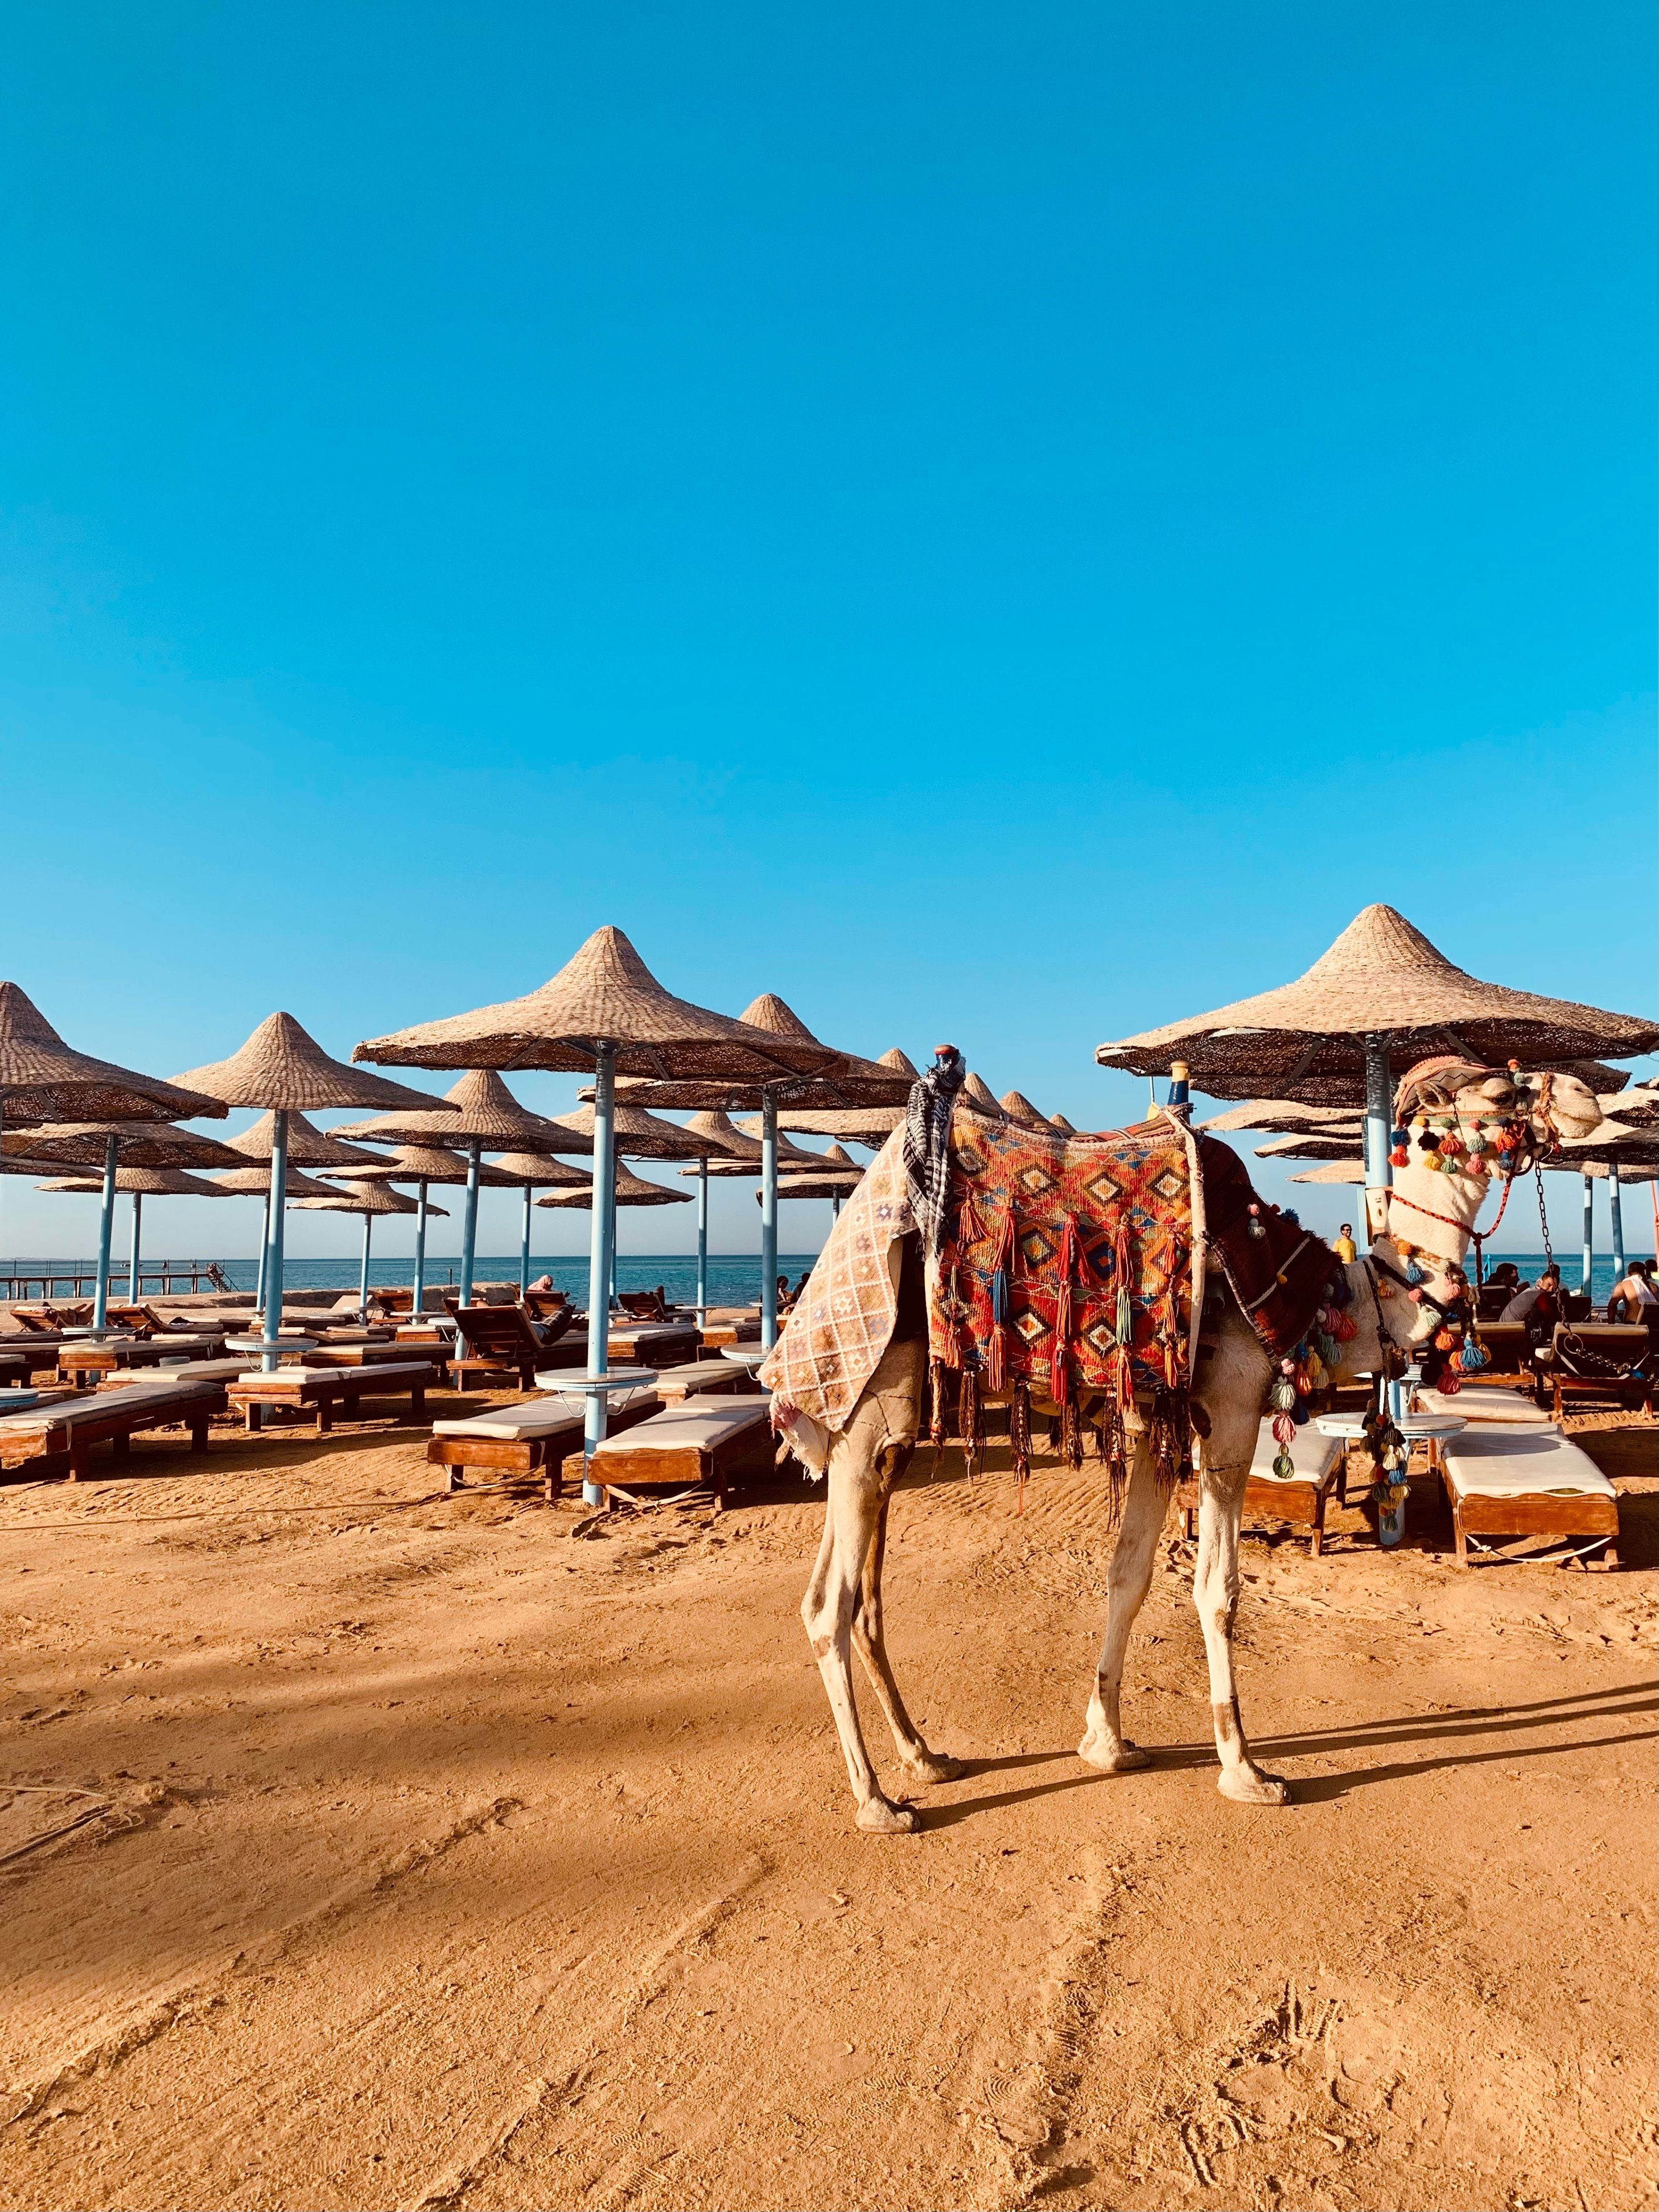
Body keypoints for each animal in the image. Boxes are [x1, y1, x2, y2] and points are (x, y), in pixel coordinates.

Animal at [787, 1059, 1601, 1833]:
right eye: (1500, 1090)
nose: (1584, 1096)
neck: (1332, 1299)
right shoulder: (1230, 1415)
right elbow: (1218, 1588)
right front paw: (1245, 1769)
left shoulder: (1158, 1428)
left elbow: (1128, 1576)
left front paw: (1107, 1742)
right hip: (866, 1408)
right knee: (827, 1604)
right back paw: (877, 1802)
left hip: (889, 1429)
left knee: (865, 1600)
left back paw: (925, 1756)